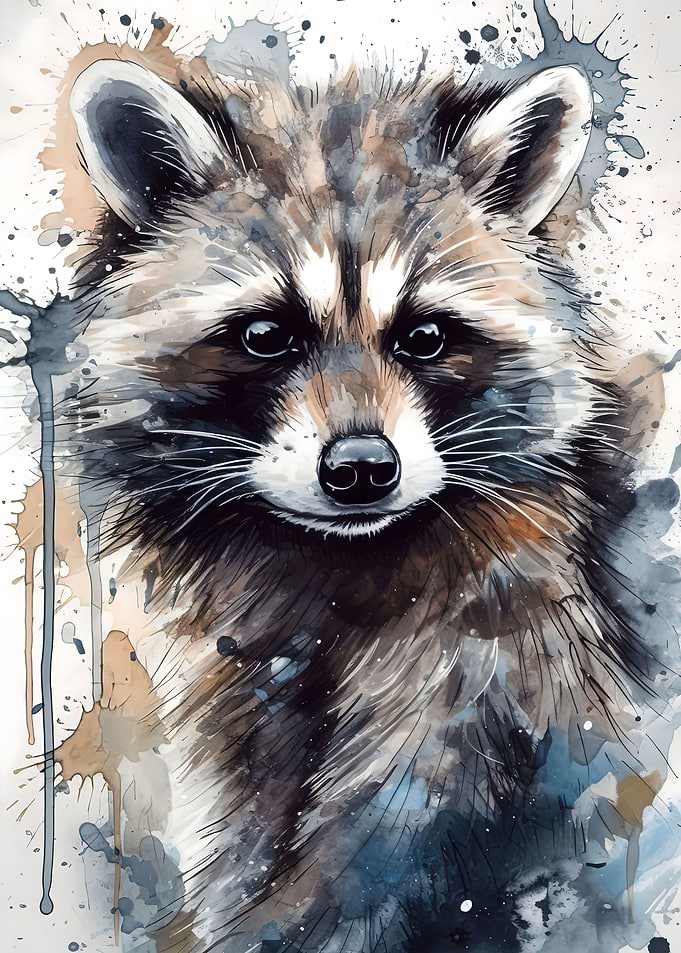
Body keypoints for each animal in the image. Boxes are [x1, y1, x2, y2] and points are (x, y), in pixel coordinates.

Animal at [62, 58, 669, 952]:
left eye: (424, 336)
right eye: (265, 335)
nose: (359, 470)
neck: (335, 561)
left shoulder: (493, 654)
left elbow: (380, 852)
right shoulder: (242, 690)